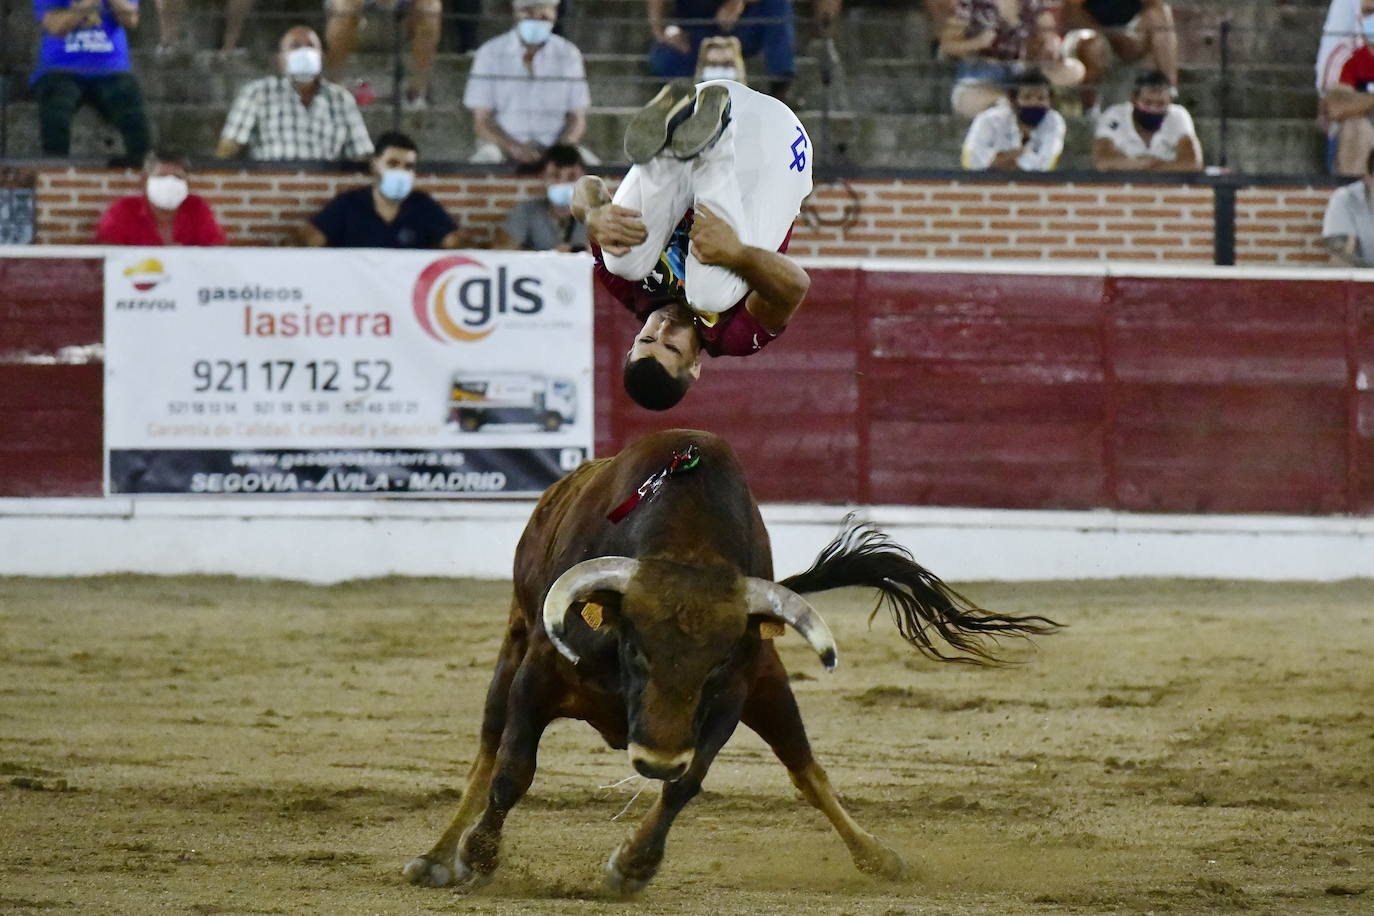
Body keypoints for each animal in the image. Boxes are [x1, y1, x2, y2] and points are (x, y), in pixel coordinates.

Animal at [401, 428, 1055, 895]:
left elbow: (688, 781)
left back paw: (874, 854)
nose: (653, 758)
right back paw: (435, 858)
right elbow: (512, 769)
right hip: (511, 651)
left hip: (771, 686)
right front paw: (476, 856)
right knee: (486, 753)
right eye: (633, 646)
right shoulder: (539, 668)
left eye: (714, 664)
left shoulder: (735, 691)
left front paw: (633, 866)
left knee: (807, 770)